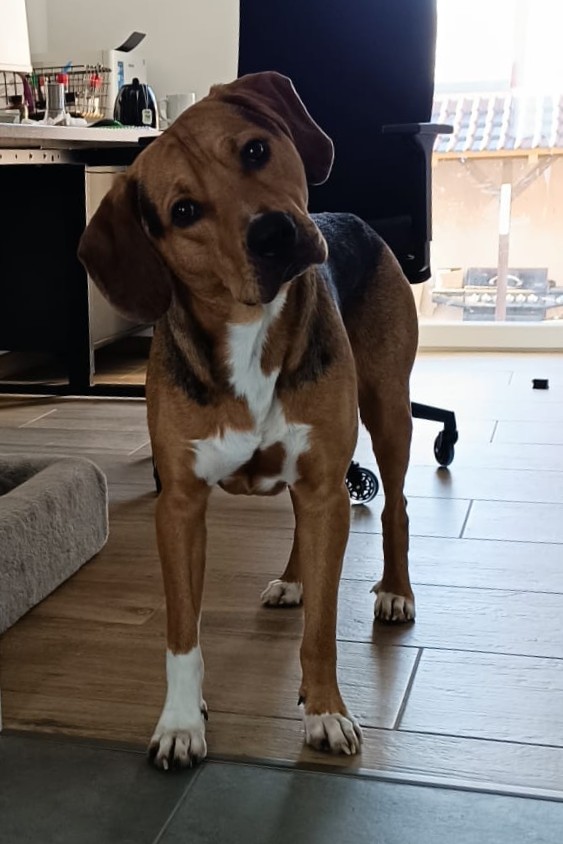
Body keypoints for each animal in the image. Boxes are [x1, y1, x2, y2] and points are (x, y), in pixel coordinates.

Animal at [78, 71, 418, 770]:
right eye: (183, 212)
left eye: (256, 151)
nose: (273, 235)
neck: (250, 332)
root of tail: (356, 220)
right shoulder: (180, 504)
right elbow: (182, 632)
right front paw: (181, 721)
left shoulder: (324, 484)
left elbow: (322, 628)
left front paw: (325, 711)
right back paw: (292, 579)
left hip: (388, 409)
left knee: (396, 504)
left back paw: (395, 591)